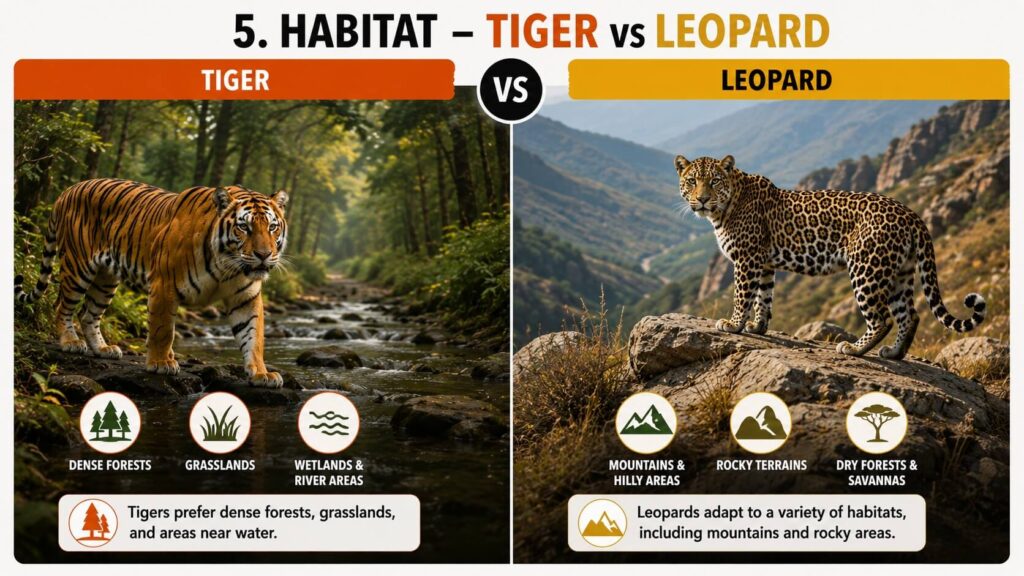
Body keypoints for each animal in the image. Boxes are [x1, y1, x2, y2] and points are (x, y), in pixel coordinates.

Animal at [15, 178, 289, 387]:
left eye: (272, 227)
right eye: (244, 227)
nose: (264, 255)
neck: (227, 265)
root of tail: (67, 190)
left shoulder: (246, 297)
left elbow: (254, 337)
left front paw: (262, 373)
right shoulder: (164, 286)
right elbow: (163, 329)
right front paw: (160, 363)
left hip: (105, 279)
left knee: (88, 314)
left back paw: (103, 349)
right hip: (77, 267)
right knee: (61, 306)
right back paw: (71, 343)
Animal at [674, 154, 985, 359]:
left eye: (714, 181)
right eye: (691, 181)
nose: (701, 199)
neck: (725, 208)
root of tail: (912, 214)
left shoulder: (747, 259)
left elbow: (742, 295)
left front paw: (733, 324)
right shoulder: (764, 264)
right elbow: (764, 298)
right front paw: (758, 327)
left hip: (866, 268)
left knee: (882, 318)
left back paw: (854, 349)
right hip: (900, 272)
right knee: (910, 315)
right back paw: (894, 353)